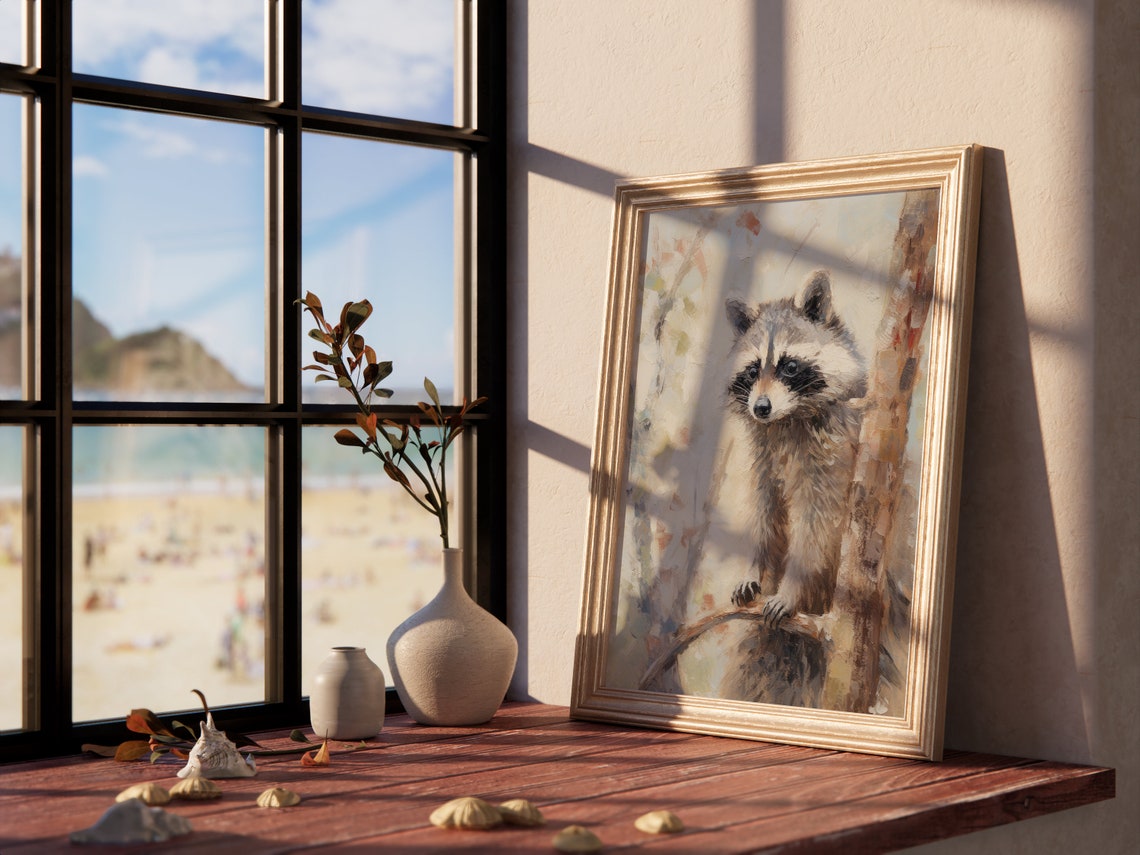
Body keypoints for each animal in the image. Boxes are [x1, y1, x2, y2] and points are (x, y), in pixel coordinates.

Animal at [721, 269, 867, 706]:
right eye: (753, 370)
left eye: (788, 367)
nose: (760, 408)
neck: (787, 420)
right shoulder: (764, 458)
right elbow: (766, 511)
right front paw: (755, 563)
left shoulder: (834, 454)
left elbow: (818, 525)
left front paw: (792, 588)